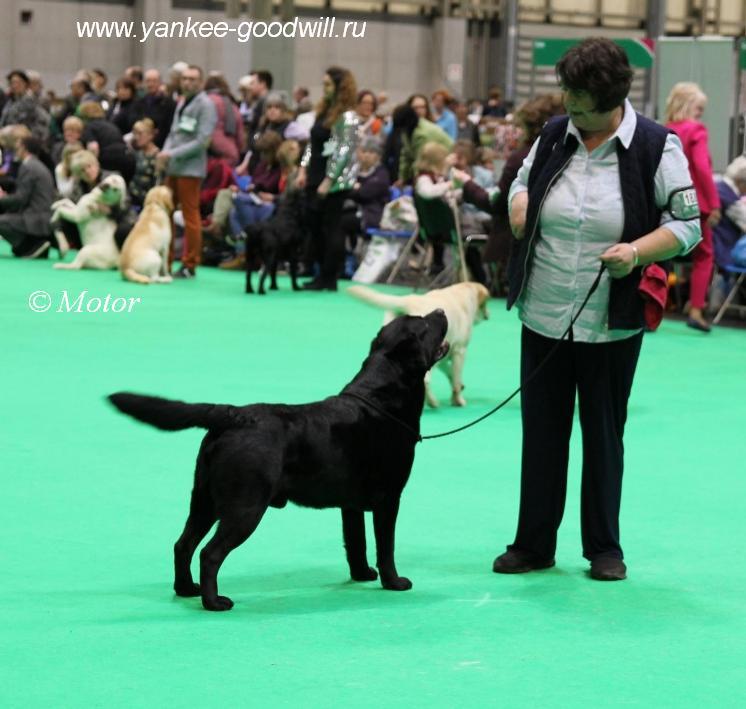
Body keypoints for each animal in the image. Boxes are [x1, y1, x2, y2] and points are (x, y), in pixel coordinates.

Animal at [109, 310, 448, 608]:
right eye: (424, 324)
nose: (441, 311)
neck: (382, 398)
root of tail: (234, 416)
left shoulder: (350, 504)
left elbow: (356, 542)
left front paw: (362, 574)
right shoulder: (388, 498)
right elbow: (385, 545)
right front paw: (394, 582)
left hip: (204, 498)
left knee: (183, 544)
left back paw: (185, 589)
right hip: (245, 506)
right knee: (210, 553)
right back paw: (214, 602)